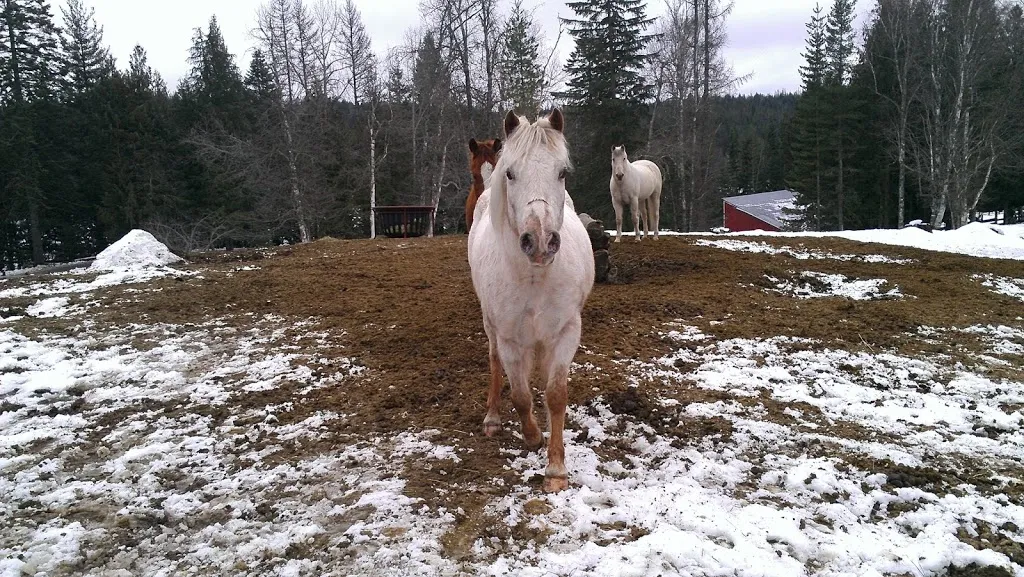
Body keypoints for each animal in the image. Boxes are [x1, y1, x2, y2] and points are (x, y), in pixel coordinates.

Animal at [468, 109, 595, 493]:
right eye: (510, 172)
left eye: (562, 172)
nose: (540, 242)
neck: (536, 277)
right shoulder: (510, 337)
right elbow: (521, 395)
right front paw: (533, 436)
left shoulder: (566, 331)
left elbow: (555, 394)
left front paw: (556, 469)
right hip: (491, 325)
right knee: (496, 363)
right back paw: (493, 419)